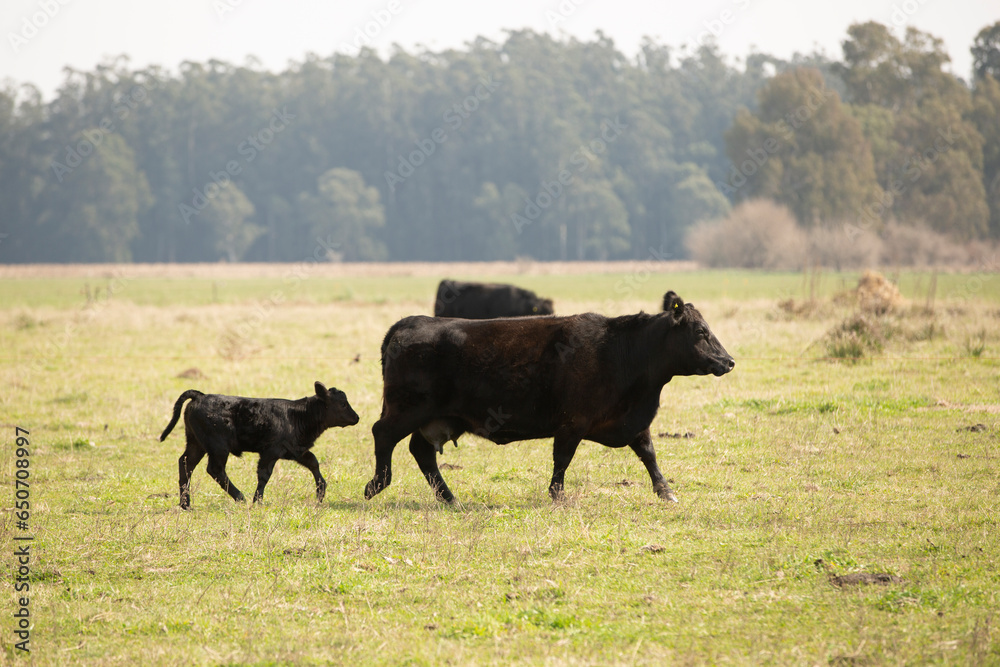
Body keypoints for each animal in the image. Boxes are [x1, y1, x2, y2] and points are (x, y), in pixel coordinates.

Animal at [164, 384, 364, 508]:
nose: (356, 417)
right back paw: (240, 497)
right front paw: (258, 500)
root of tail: (200, 396)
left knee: (186, 464)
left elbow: (313, 462)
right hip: (218, 447)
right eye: (343, 404)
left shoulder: (296, 450)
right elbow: (264, 475)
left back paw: (185, 504)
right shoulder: (270, 452)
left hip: (196, 443)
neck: (297, 416)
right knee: (215, 470)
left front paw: (321, 491)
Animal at [364, 290, 732, 504]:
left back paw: (450, 498)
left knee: (421, 452)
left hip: (430, 419)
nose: (728, 361)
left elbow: (648, 453)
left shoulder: (631, 422)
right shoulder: (572, 423)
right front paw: (557, 495)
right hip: (406, 410)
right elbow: (562, 459)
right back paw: (378, 484)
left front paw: (665, 490)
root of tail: (408, 323)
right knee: (383, 434)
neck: (620, 350)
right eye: (701, 331)